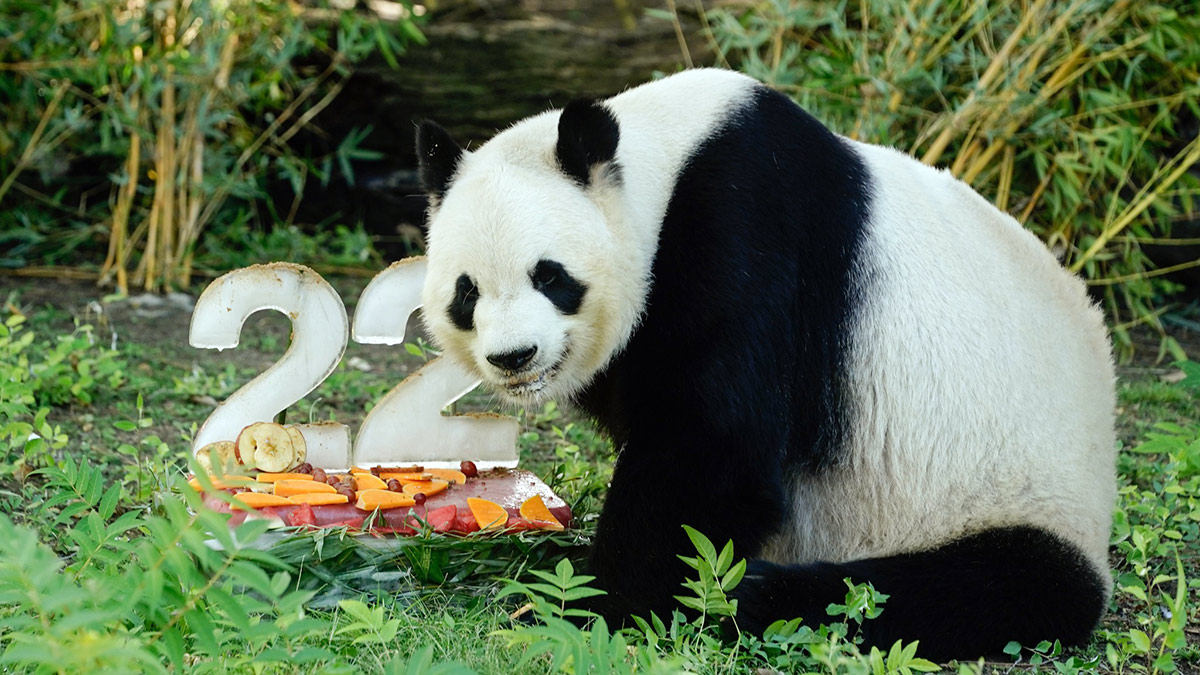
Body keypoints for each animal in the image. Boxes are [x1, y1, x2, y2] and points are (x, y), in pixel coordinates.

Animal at [413, 68, 1116, 660]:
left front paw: (592, 605)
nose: (514, 357)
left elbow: (712, 447)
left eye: (550, 275)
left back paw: (755, 594)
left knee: (961, 589)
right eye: (467, 292)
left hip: (1005, 494)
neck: (664, 165)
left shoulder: (746, 223)